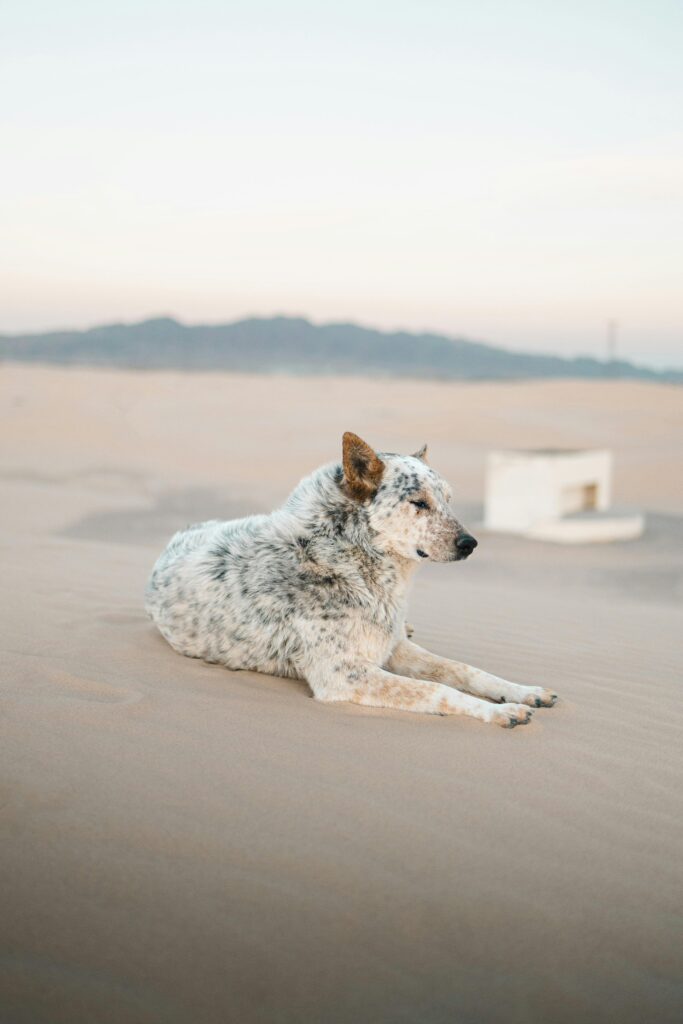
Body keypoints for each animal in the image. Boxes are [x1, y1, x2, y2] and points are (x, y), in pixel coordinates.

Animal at [147, 432, 557, 729]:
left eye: (449, 500)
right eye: (419, 503)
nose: (471, 543)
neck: (349, 557)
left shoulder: (393, 648)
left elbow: (463, 669)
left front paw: (522, 691)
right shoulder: (344, 675)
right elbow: (437, 690)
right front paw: (497, 712)